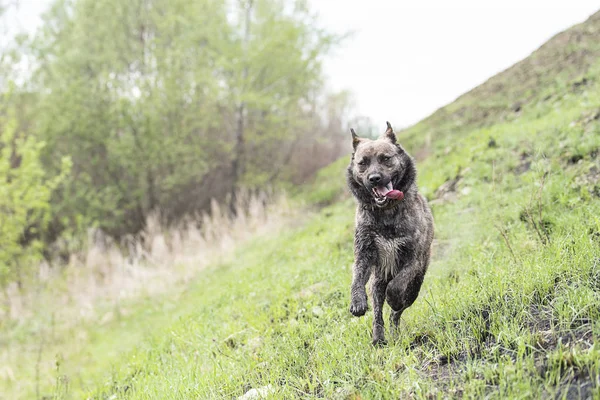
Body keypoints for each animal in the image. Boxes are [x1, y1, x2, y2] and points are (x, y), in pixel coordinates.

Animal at [346, 122, 436, 346]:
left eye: (385, 158)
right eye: (362, 163)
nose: (374, 178)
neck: (386, 213)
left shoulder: (413, 259)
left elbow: (398, 285)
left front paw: (393, 299)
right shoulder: (364, 254)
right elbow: (357, 278)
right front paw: (357, 301)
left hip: (415, 286)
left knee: (398, 311)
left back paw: (394, 327)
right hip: (377, 282)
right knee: (378, 311)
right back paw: (379, 338)